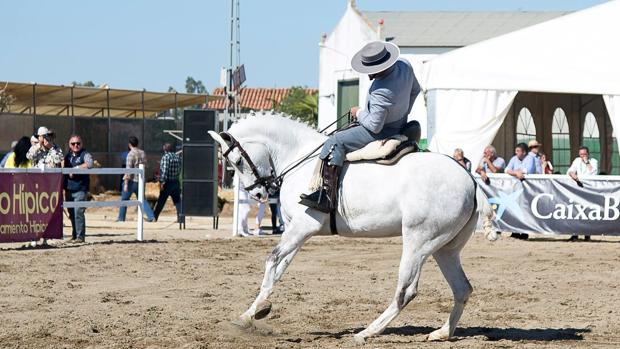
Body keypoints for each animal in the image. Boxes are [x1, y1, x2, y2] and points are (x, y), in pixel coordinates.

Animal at [209, 115, 494, 342]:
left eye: (237, 161)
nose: (257, 193)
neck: (299, 157)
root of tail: (469, 180)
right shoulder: (294, 231)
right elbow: (279, 269)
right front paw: (251, 313)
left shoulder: (303, 227)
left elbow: (272, 260)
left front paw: (257, 310)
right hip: (445, 249)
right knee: (462, 289)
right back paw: (442, 333)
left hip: (418, 243)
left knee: (406, 291)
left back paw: (367, 332)